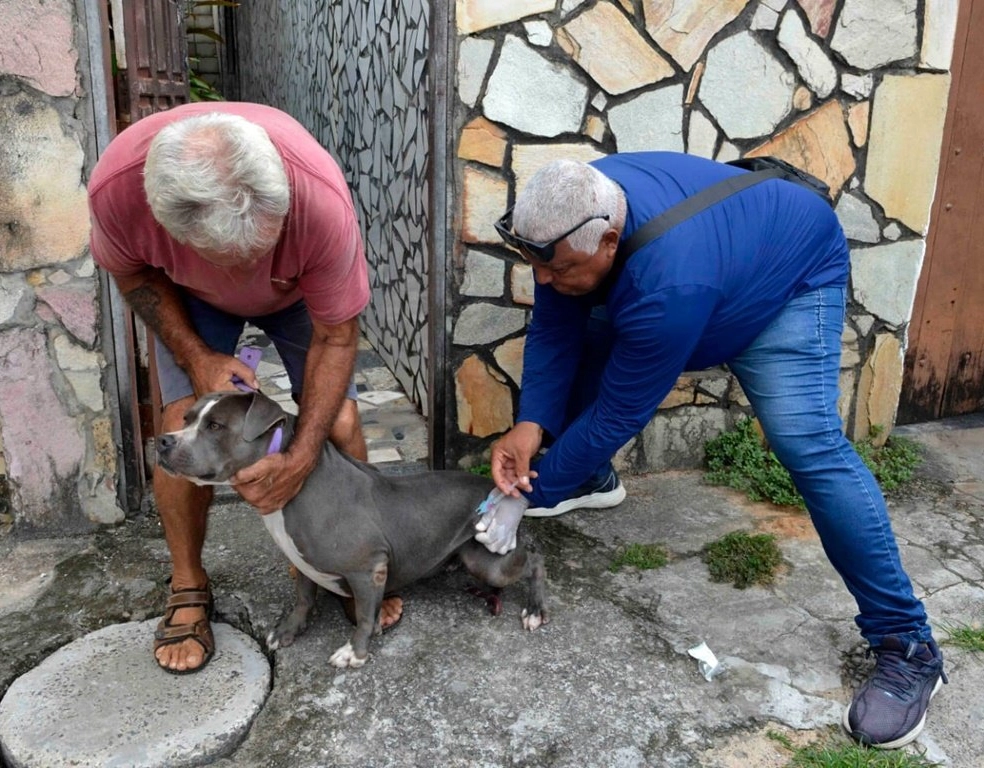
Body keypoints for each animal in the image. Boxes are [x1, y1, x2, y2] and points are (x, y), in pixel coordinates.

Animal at [158, 390, 548, 664]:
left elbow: (362, 615)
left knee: (535, 561)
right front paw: (289, 630)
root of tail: (497, 490)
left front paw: (355, 652)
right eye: (187, 417)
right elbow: (303, 598)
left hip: (490, 560)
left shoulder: (368, 568)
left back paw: (535, 610)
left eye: (215, 426)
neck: (294, 487)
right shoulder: (301, 559)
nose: (162, 440)